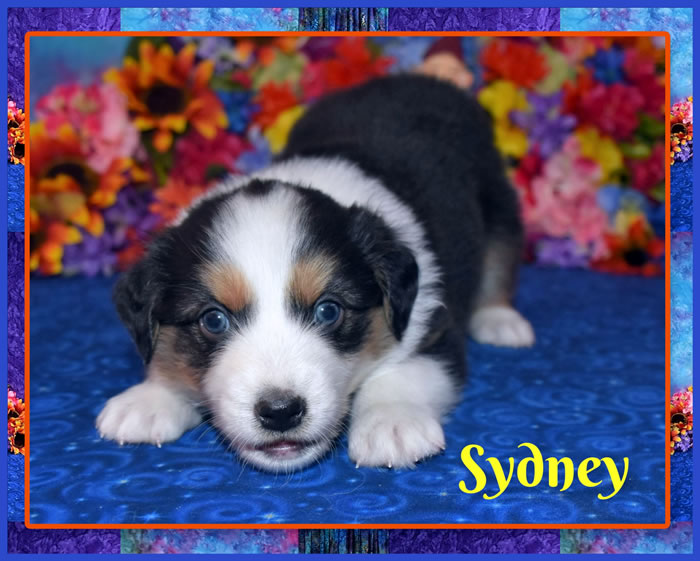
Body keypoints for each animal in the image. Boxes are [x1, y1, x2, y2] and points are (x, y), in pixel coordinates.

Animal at [96, 74, 534, 472]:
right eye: (213, 319)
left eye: (328, 310)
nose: (280, 412)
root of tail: (426, 78)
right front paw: (149, 399)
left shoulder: (435, 325)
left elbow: (406, 372)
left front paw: (392, 424)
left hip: (497, 198)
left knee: (501, 256)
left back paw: (501, 321)